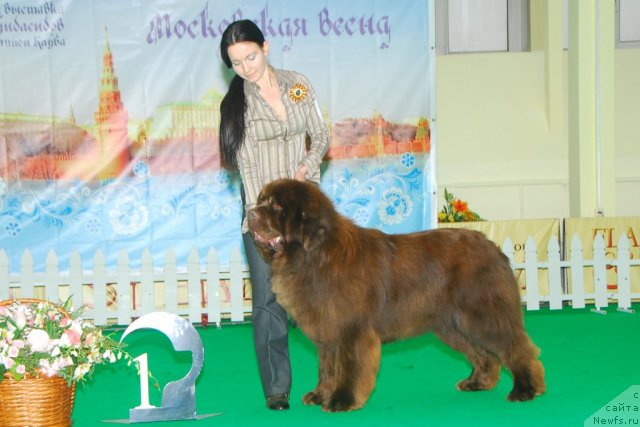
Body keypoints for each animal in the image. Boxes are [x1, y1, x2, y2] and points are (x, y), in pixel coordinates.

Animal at [245, 179, 544, 412]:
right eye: (260, 200)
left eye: (277, 207)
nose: (250, 213)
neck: (314, 255)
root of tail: (495, 249)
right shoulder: (328, 330)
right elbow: (327, 367)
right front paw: (320, 395)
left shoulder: (351, 329)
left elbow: (348, 366)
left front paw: (341, 400)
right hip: (455, 324)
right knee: (484, 353)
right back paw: (477, 383)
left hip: (483, 314)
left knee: (515, 347)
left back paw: (525, 390)